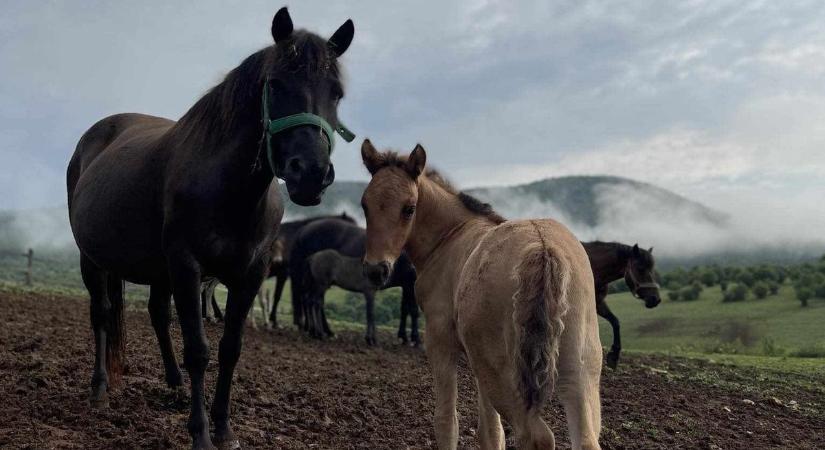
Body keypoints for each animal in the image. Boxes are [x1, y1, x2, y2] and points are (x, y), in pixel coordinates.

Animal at [66, 8, 356, 448]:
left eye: (336, 93)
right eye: (275, 84)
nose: (310, 173)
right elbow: (199, 350)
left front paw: (224, 428)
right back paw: (100, 389)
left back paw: (174, 386)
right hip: (94, 260)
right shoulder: (188, 267)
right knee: (101, 314)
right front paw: (201, 433)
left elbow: (230, 347)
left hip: (158, 270)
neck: (229, 189)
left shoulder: (248, 274)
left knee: (157, 314)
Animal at [290, 216, 422, 346]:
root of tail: (303, 230)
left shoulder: (406, 284)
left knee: (311, 300)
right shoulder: (409, 283)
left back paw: (318, 330)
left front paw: (403, 336)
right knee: (315, 302)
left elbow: (404, 309)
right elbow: (413, 310)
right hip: (319, 283)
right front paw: (415, 339)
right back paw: (322, 332)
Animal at [358, 142, 600, 450]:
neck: (450, 237)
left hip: (505, 375)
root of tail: (543, 247)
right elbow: (491, 432)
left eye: (409, 209)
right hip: (577, 371)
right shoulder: (477, 361)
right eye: (364, 205)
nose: (376, 270)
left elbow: (447, 422)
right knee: (585, 438)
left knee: (536, 436)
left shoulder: (440, 343)